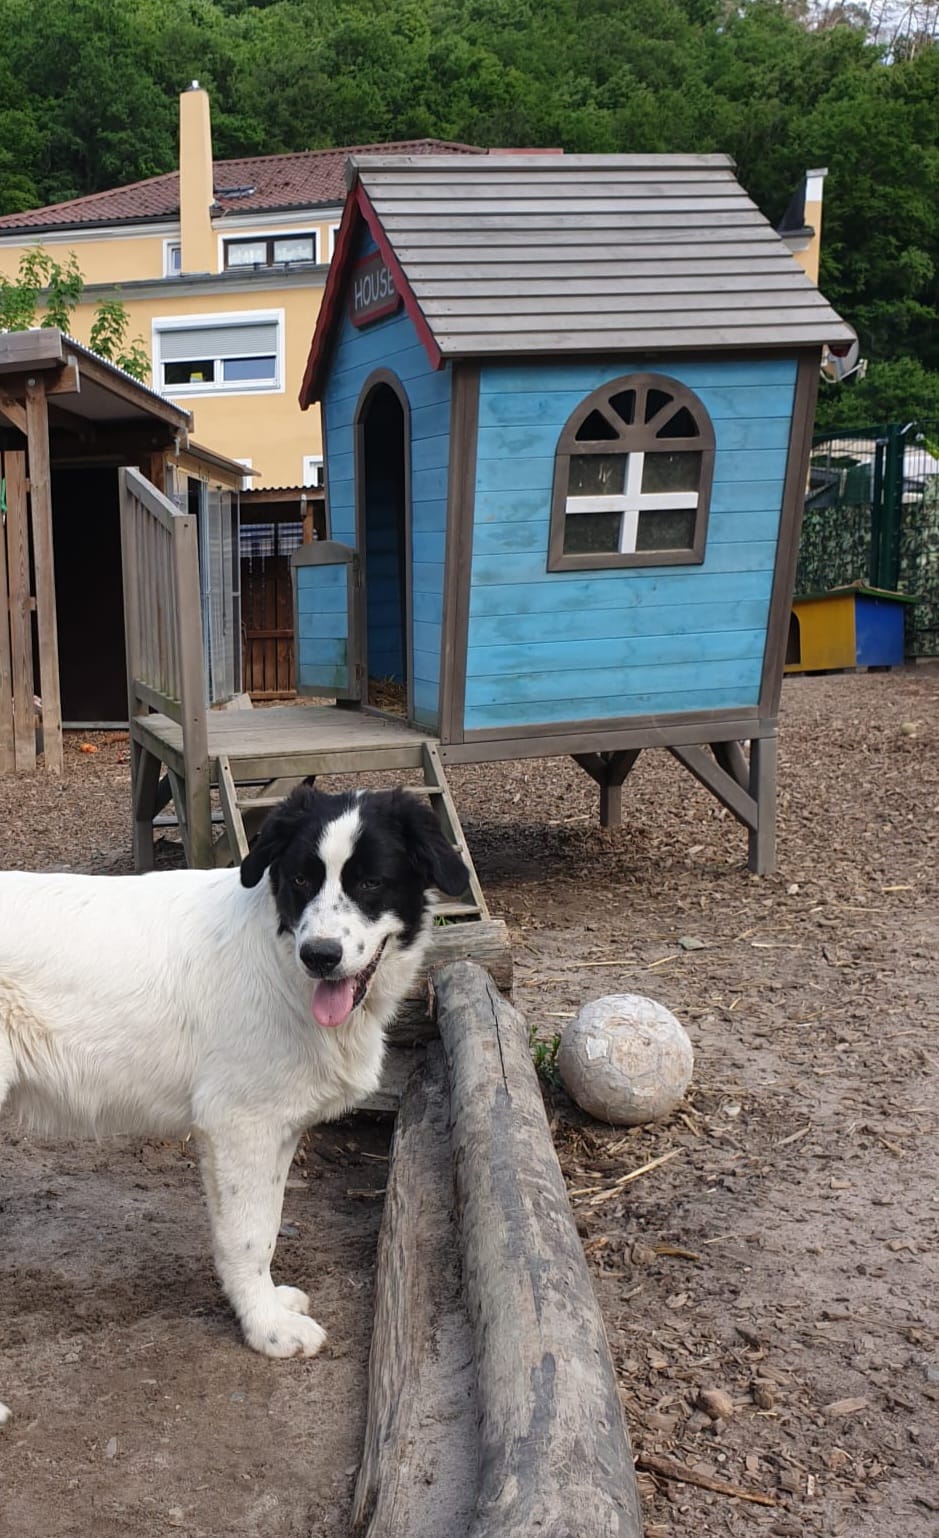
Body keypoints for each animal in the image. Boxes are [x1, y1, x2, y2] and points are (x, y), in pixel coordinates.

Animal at [0, 785, 469, 1423]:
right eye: (301, 878)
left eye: (372, 882)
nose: (320, 955)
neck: (279, 954)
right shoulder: (237, 1125)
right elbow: (245, 1236)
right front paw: (266, 1328)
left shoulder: (275, 1127)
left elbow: (266, 1226)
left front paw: (269, 1302)